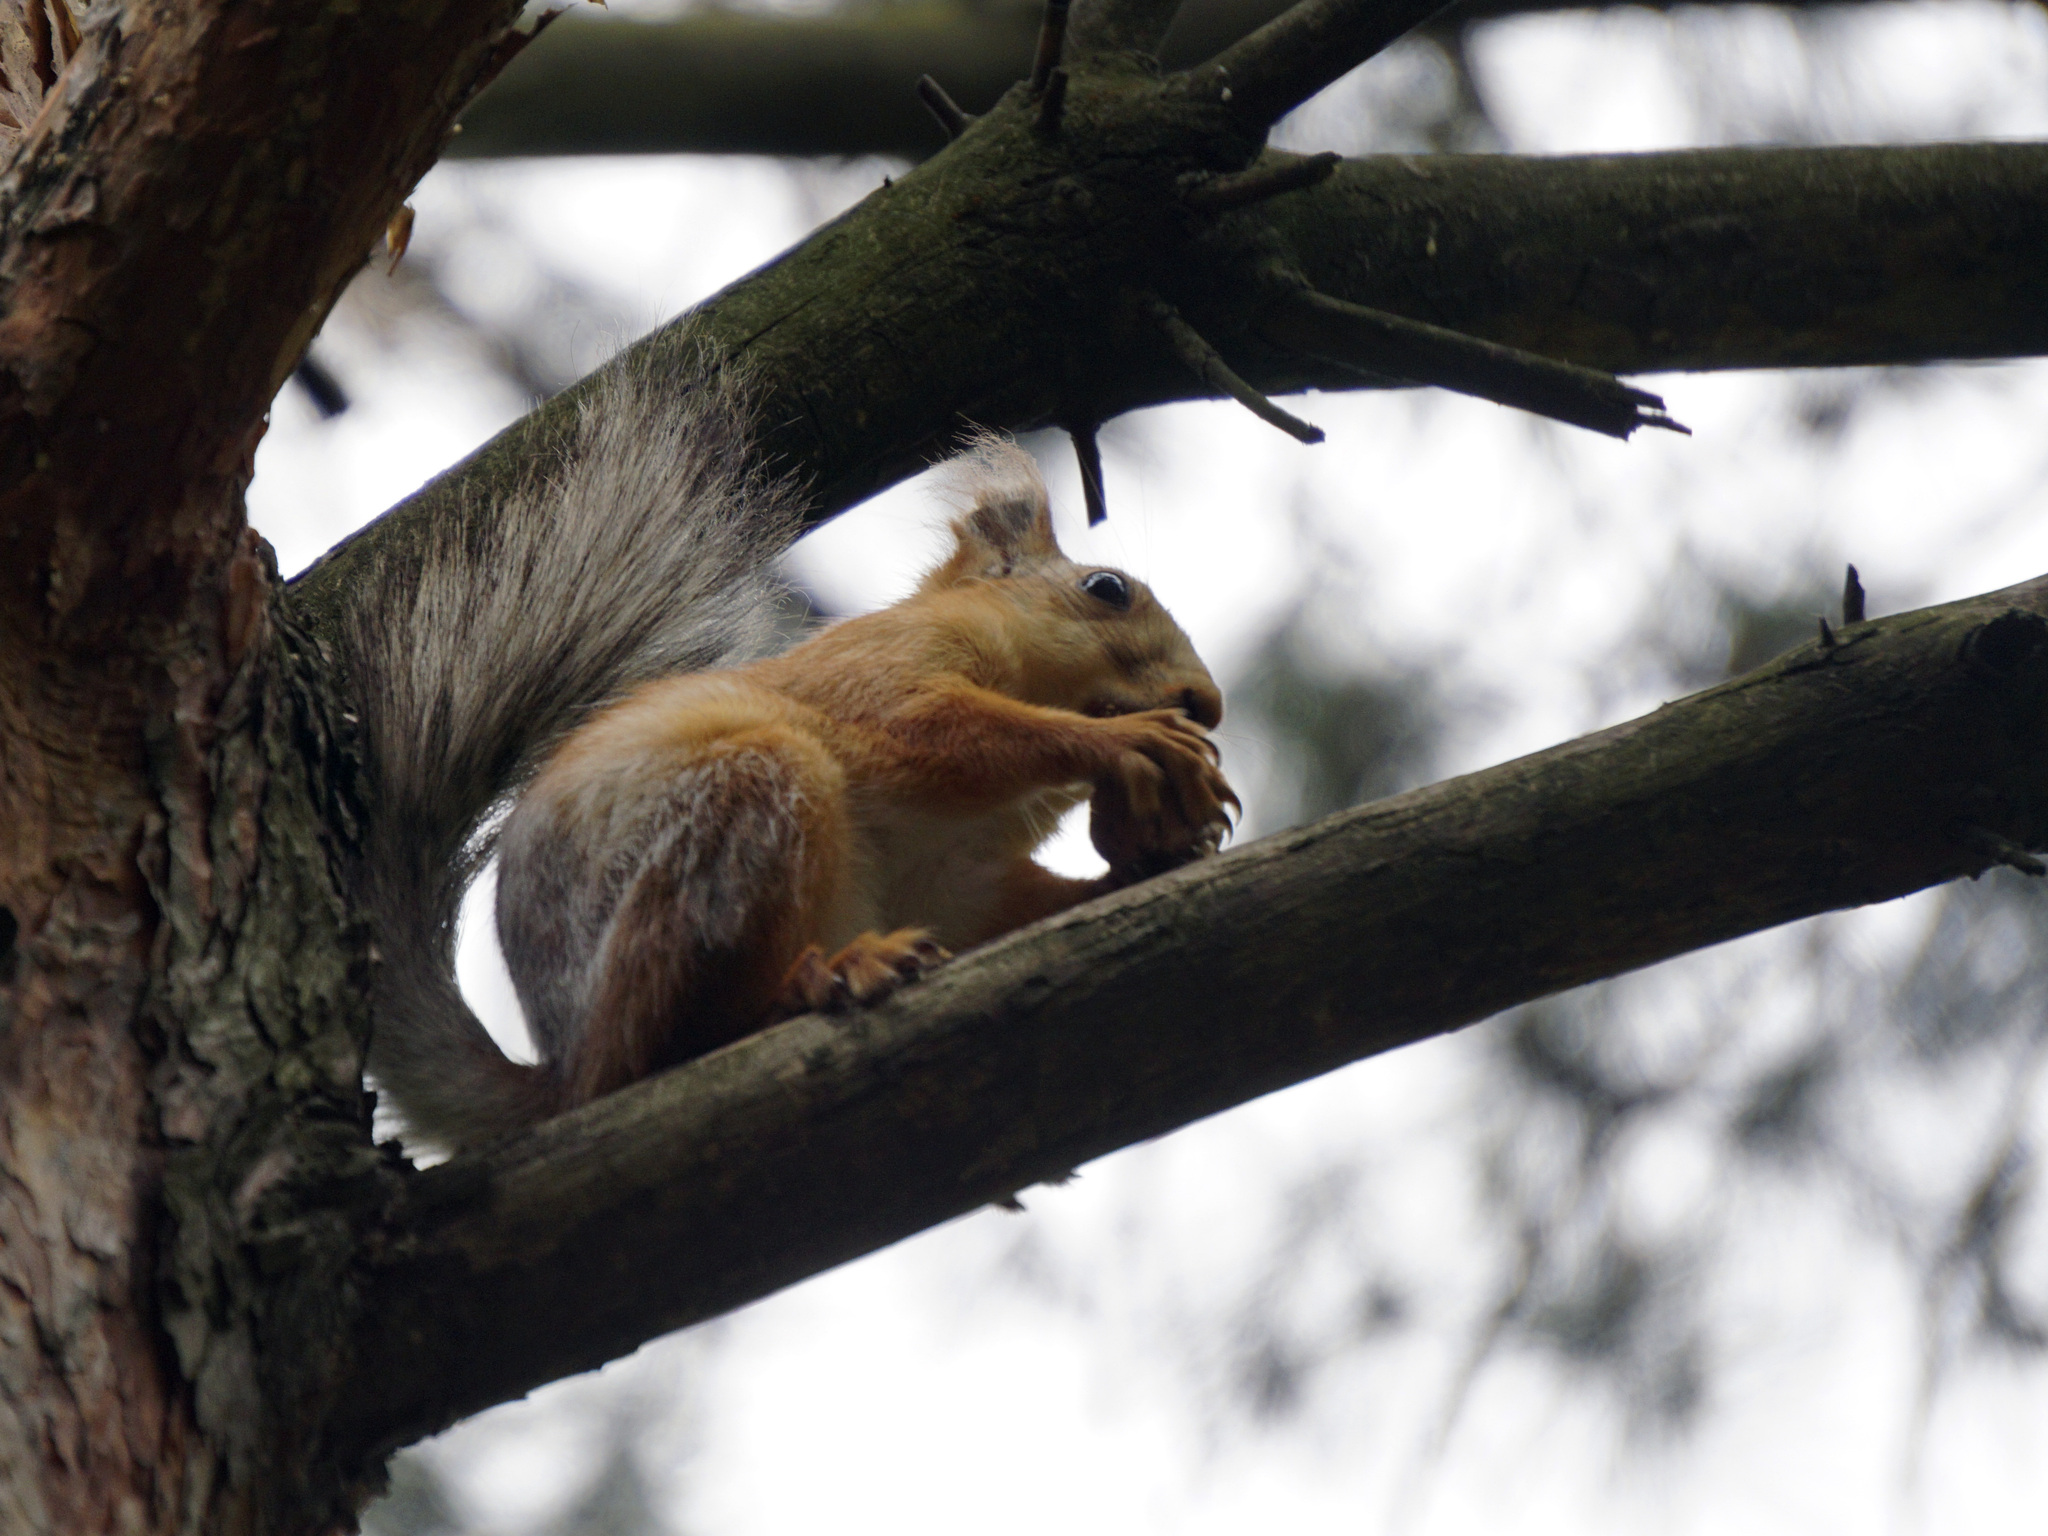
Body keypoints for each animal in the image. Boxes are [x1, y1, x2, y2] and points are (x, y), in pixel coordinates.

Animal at [327, 360, 1236, 1155]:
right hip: (741, 811)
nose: (1208, 703)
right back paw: (815, 984)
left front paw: (1146, 859)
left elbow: (1001, 905)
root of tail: (568, 1070)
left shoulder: (953, 876)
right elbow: (934, 731)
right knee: (677, 1043)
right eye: (1107, 589)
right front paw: (1131, 742)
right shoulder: (878, 678)